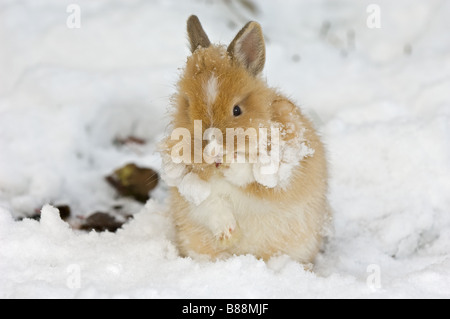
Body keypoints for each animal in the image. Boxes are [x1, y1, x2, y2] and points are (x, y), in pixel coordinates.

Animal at [161, 15, 330, 264]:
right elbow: (211, 205)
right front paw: (228, 234)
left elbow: (257, 179)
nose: (213, 153)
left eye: (237, 110)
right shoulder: (188, 188)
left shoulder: (287, 169)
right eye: (187, 106)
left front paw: (233, 166)